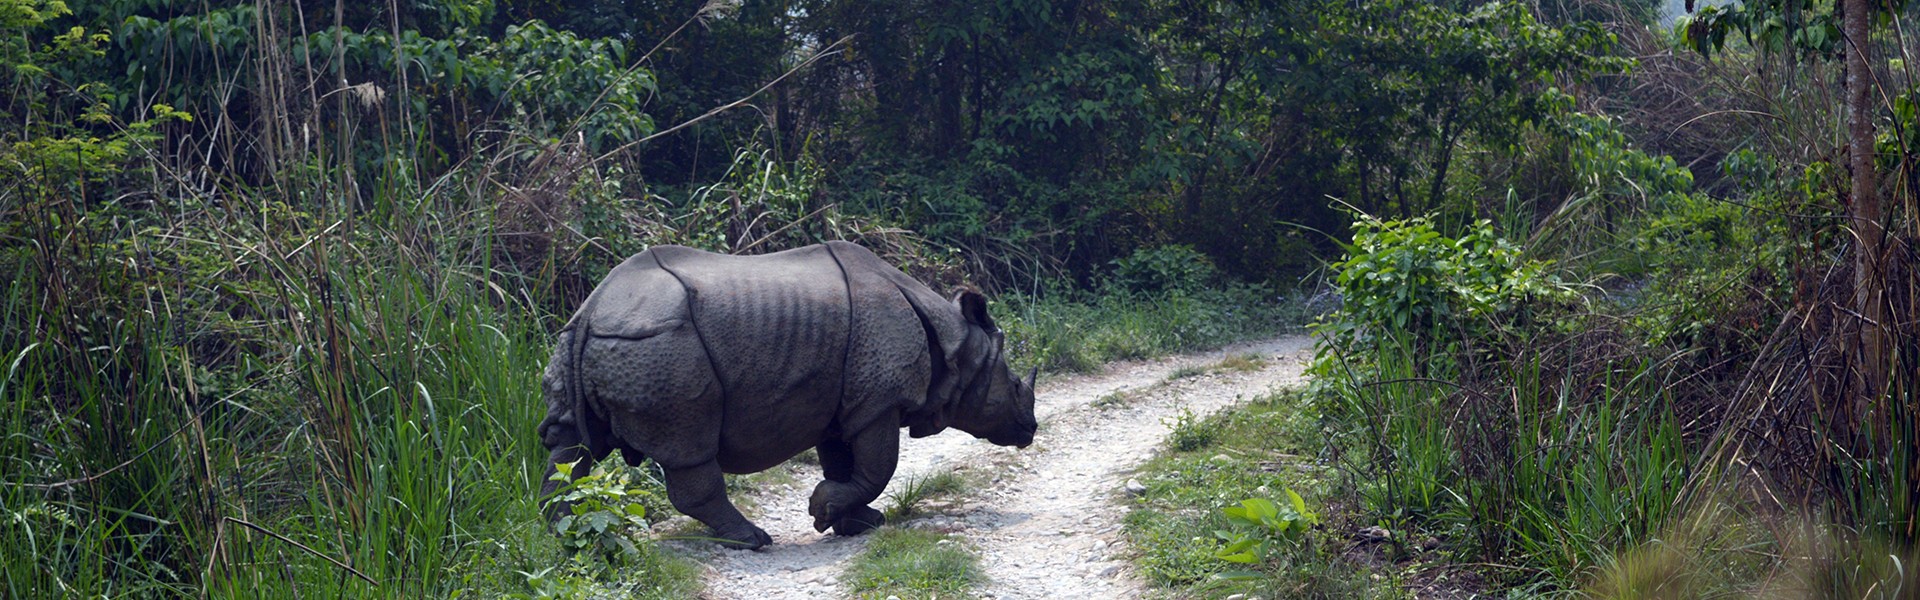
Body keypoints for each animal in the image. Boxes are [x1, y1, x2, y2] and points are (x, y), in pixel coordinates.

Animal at [533, 240, 1044, 550]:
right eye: (1016, 386)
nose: (1031, 430)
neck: (955, 344)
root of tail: (593, 308)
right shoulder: (878, 401)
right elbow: (878, 466)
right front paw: (825, 511)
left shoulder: (843, 402)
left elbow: (845, 463)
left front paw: (855, 521)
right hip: (660, 345)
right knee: (688, 446)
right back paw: (753, 540)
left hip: (591, 340)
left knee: (571, 445)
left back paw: (563, 537)